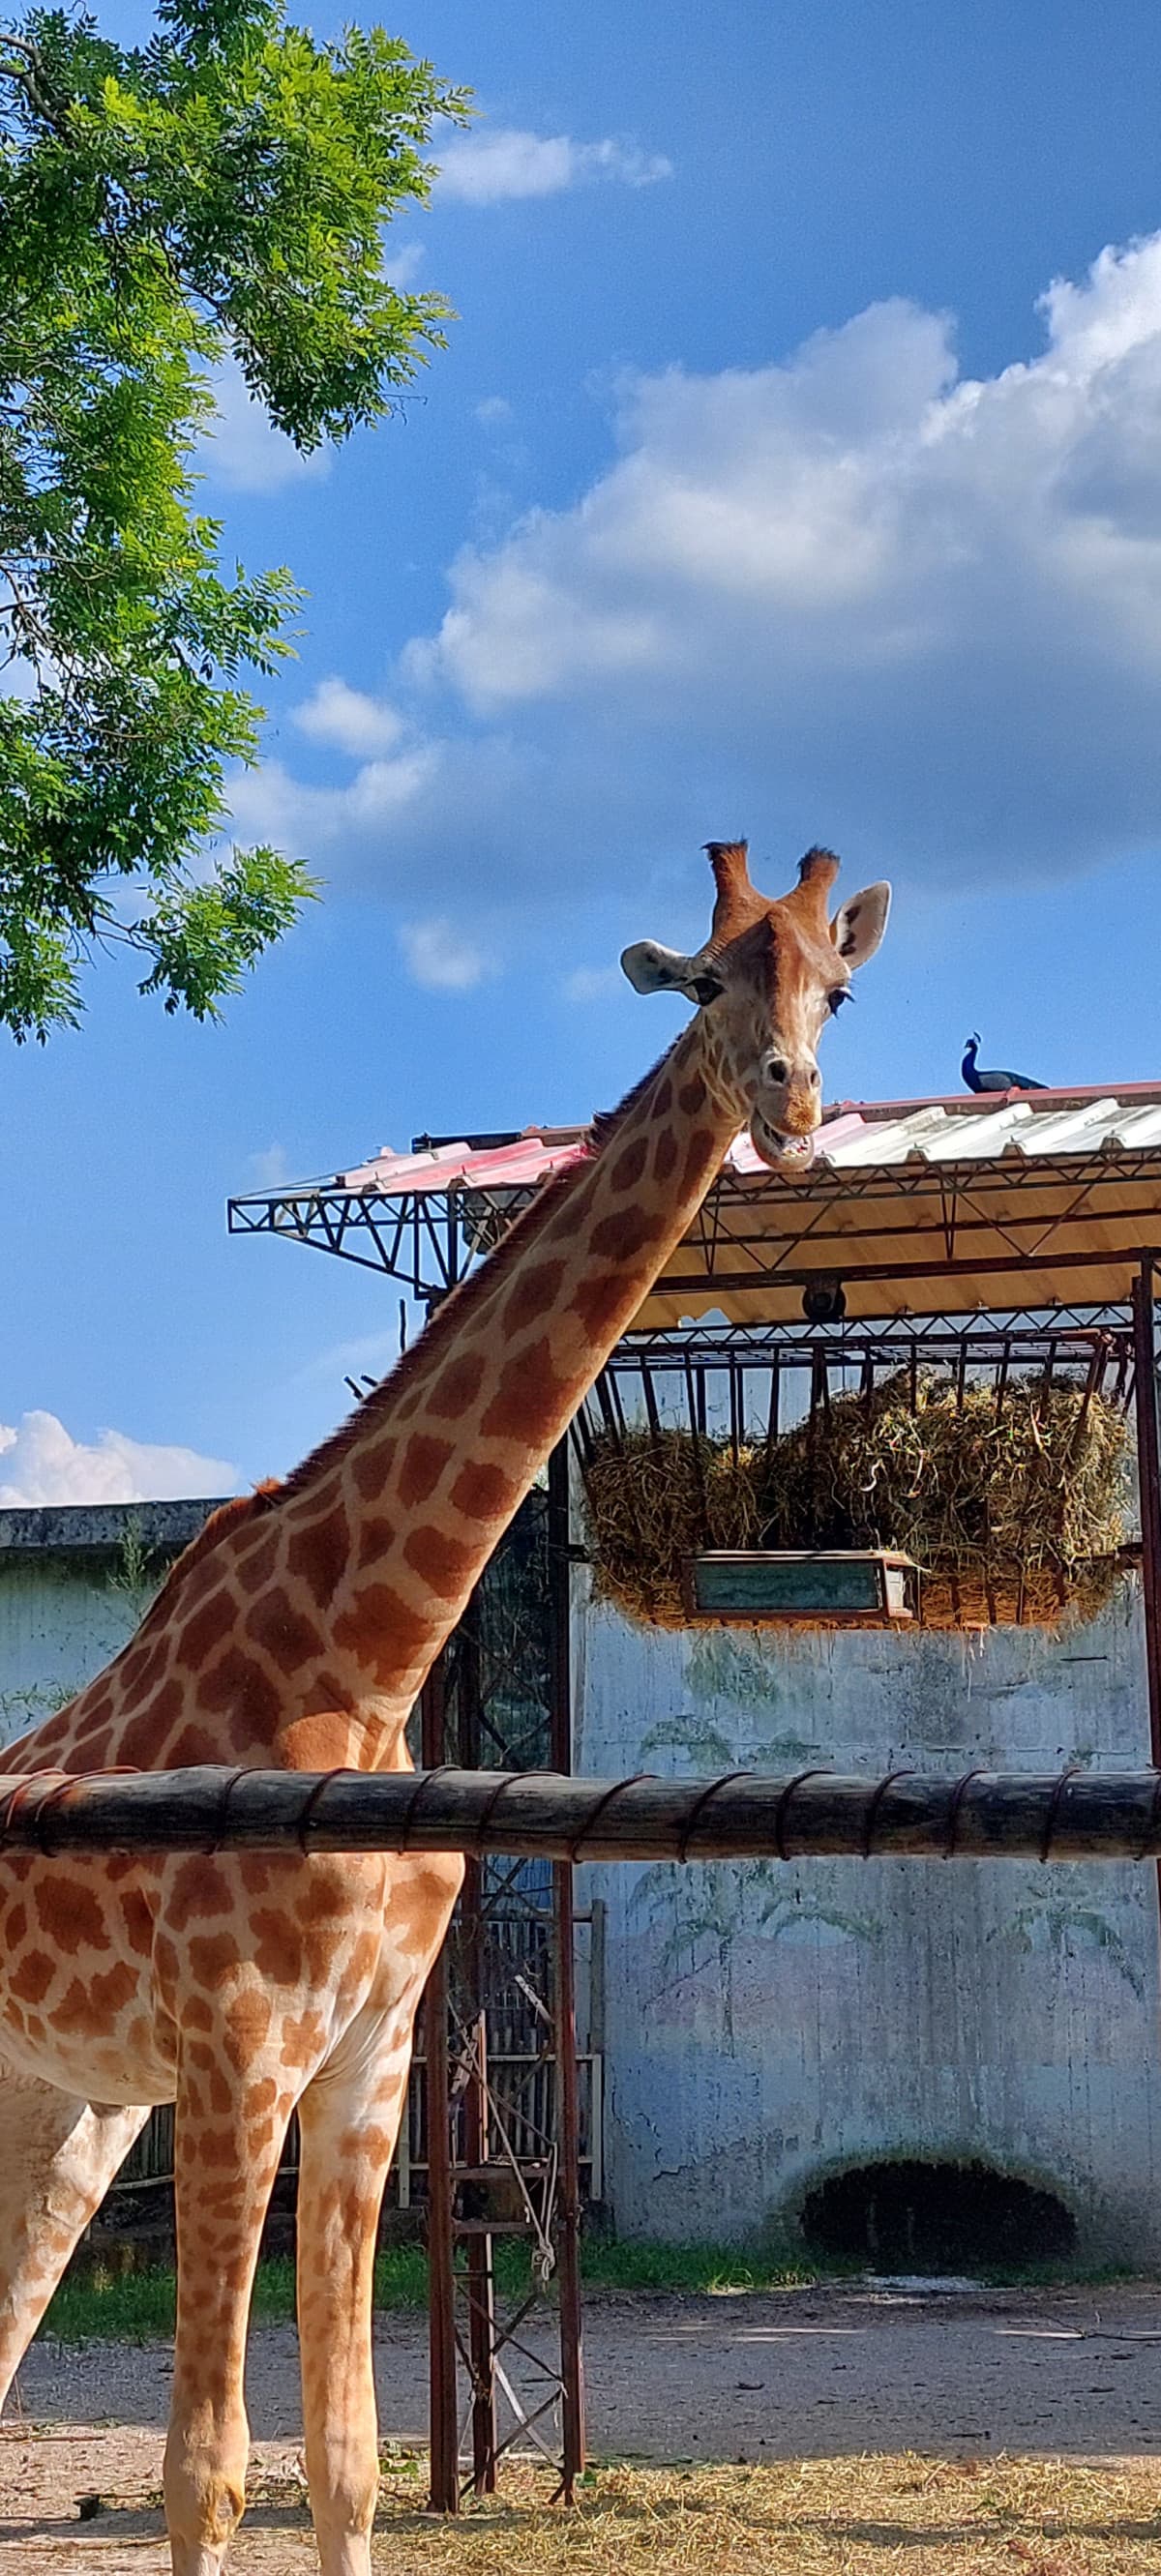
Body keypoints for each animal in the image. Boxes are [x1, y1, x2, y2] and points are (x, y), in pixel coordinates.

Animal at [0, 840, 890, 2555]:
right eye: (705, 979)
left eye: (837, 984)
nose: (791, 1101)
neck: (368, 1656)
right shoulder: (241, 2055)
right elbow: (206, 2469)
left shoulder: (366, 2067)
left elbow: (347, 2455)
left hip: (67, 2105)